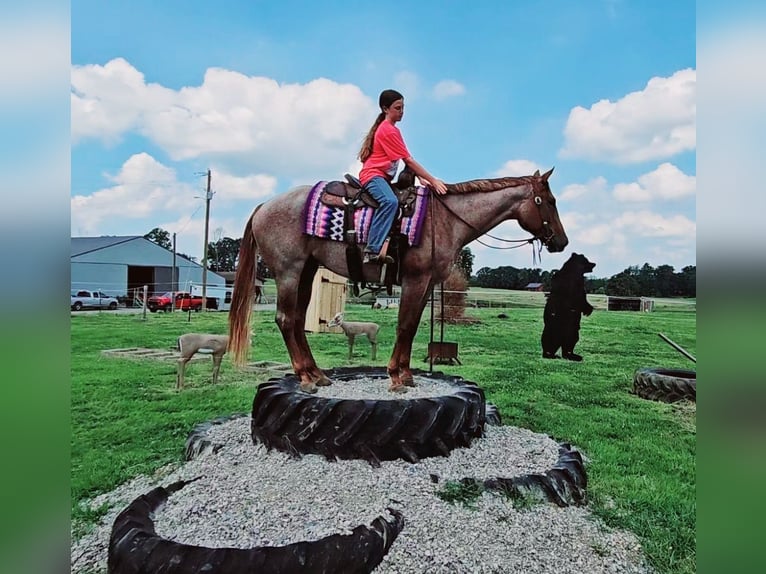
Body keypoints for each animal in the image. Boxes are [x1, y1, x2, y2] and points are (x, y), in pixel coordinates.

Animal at [230, 169, 568, 394]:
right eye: (549, 200)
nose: (562, 242)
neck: (445, 219)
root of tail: (263, 206)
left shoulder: (428, 283)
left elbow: (413, 325)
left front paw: (406, 374)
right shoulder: (415, 279)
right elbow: (405, 325)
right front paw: (395, 376)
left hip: (307, 271)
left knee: (298, 320)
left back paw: (317, 374)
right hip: (289, 271)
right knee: (286, 319)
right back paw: (304, 378)